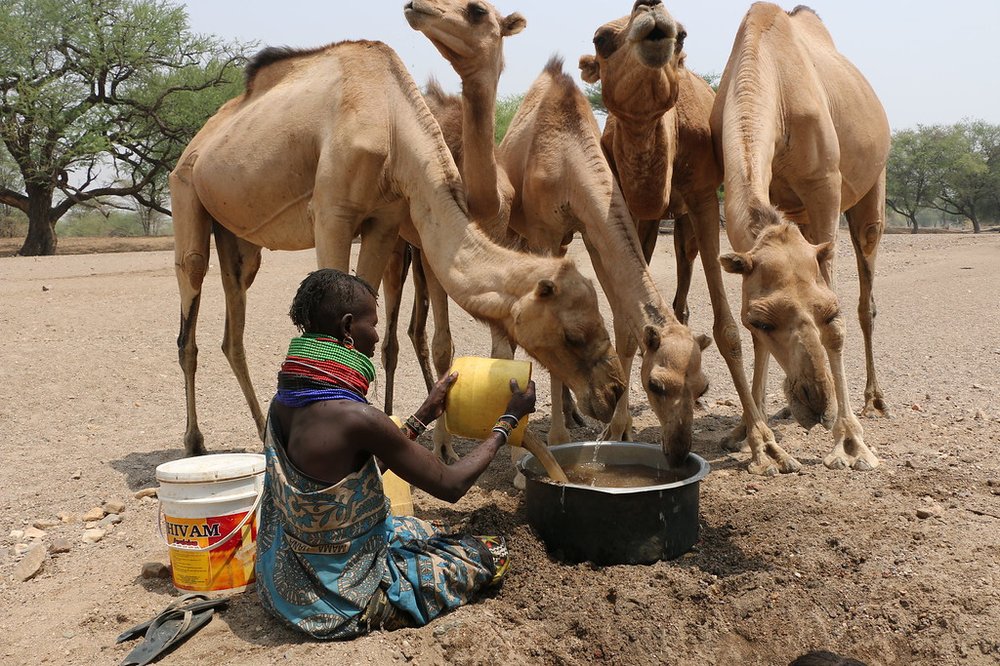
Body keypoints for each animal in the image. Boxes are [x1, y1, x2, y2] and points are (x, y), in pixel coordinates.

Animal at [170, 39, 625, 456]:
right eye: (573, 335)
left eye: (600, 320)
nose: (614, 390)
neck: (391, 123)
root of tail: (201, 137)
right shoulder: (332, 215)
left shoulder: (384, 222)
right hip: (186, 192)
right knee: (189, 308)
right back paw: (194, 442)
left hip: (238, 239)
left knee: (233, 329)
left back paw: (262, 427)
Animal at [498, 56, 711, 460]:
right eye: (657, 385)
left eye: (701, 388)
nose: (678, 450)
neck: (569, 162)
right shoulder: (545, 233)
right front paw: (557, 438)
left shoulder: (592, 231)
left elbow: (623, 330)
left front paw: (620, 429)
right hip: (518, 229)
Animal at [580, 1, 789, 475]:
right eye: (601, 38)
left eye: (683, 36)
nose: (650, 9)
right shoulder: (629, 205)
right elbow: (626, 326)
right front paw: (617, 428)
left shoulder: (703, 196)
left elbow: (728, 330)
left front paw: (763, 445)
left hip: (686, 222)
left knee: (686, 270)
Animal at [709, 3, 890, 471]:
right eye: (759, 319)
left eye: (827, 310)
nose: (816, 404)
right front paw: (745, 434)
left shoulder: (824, 185)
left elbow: (841, 325)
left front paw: (850, 443)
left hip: (871, 191)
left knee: (867, 298)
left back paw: (873, 401)